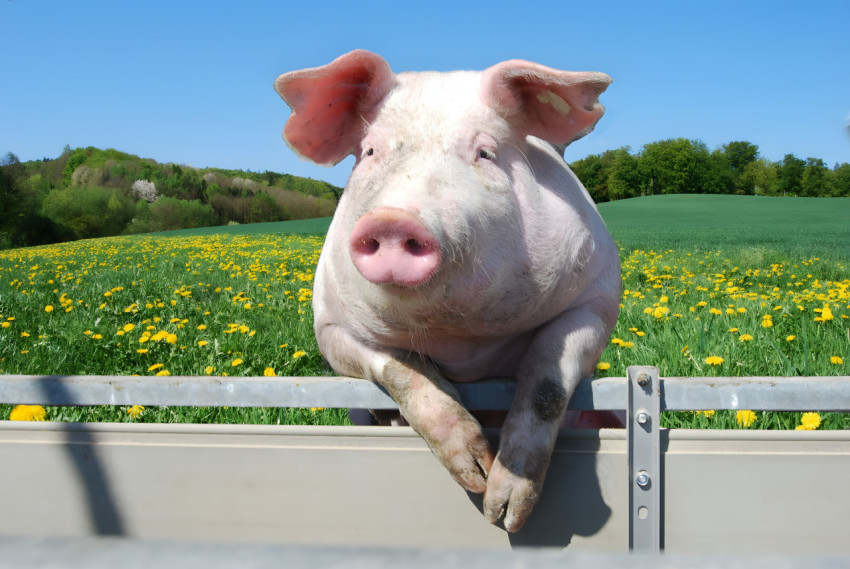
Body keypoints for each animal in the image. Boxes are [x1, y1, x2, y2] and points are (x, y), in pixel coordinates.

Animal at [273, 50, 620, 533]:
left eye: (485, 153)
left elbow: (547, 381)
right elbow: (401, 369)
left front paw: (504, 514)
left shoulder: (598, 295)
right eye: (370, 152)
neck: (461, 339)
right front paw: (476, 476)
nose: (394, 219)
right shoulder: (329, 325)